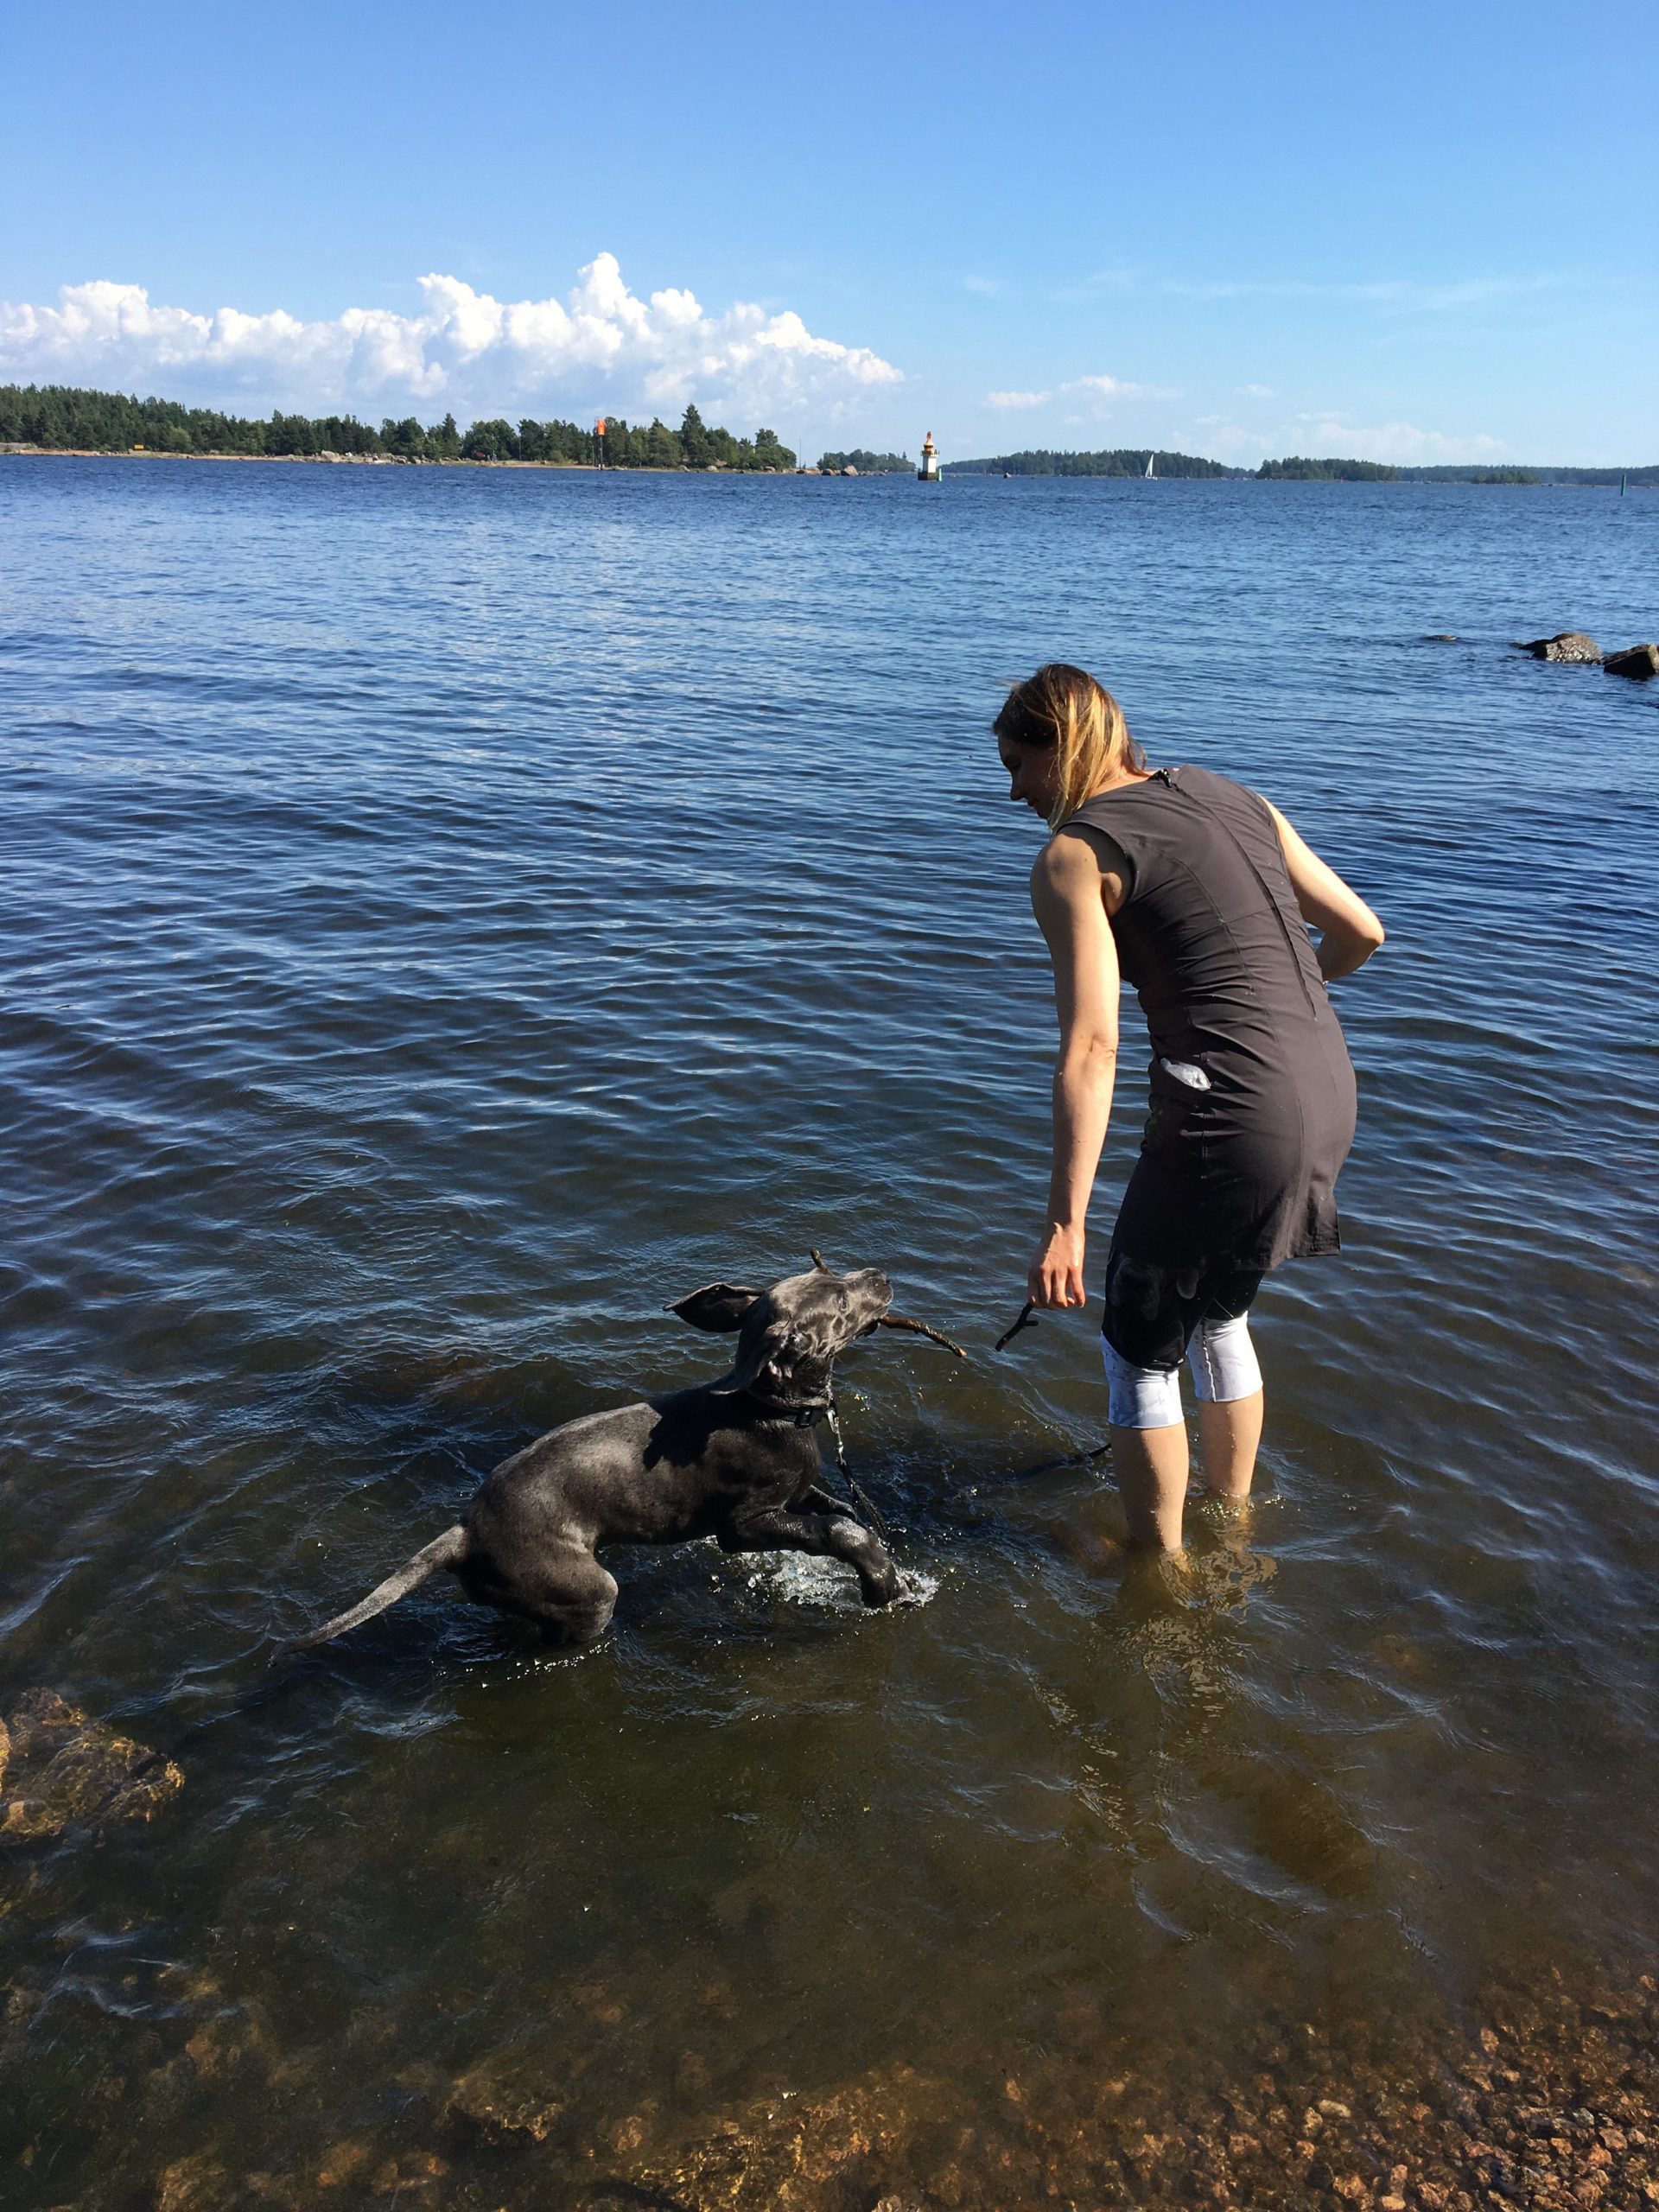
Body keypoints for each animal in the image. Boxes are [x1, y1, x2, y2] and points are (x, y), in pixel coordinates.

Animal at [284, 1264, 909, 1654]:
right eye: (839, 1300)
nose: (881, 1274)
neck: (770, 1409)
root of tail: (463, 1533)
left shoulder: (796, 1492)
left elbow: (838, 1511)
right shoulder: (742, 1524)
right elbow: (837, 1531)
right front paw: (881, 1581)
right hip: (585, 1591)